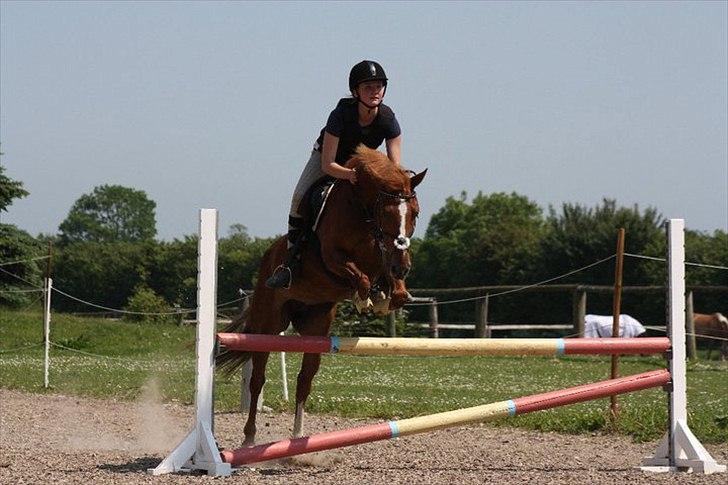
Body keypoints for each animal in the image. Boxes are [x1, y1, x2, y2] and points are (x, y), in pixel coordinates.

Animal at [219, 146, 430, 444]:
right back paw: (249, 438)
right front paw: (364, 299)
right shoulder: (332, 258)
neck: (363, 216)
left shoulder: (385, 258)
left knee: (304, 380)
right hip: (267, 324)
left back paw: (298, 437)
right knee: (257, 378)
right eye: (386, 213)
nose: (403, 266)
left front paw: (383, 297)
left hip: (315, 329)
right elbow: (359, 277)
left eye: (415, 213)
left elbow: (393, 287)